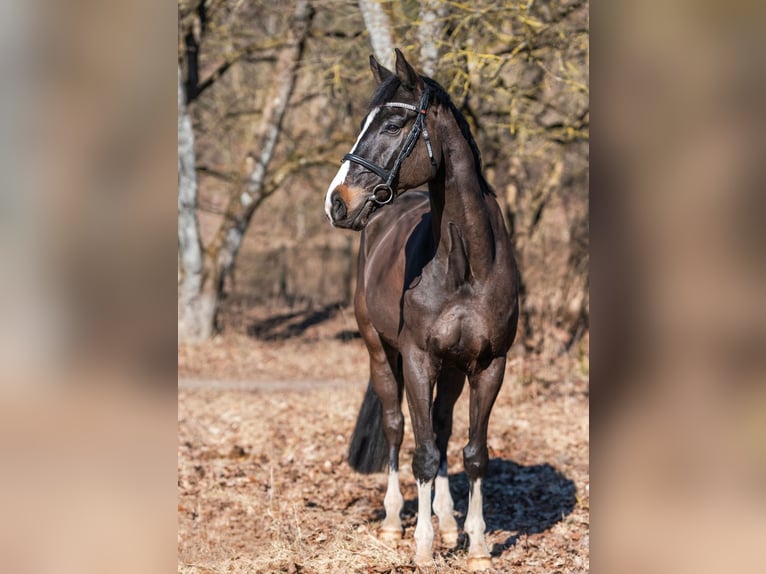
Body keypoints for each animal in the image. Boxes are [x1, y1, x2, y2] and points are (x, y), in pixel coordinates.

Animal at [324, 48, 520, 572]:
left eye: (394, 123)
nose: (336, 202)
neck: (466, 266)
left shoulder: (489, 365)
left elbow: (473, 452)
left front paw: (476, 544)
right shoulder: (415, 358)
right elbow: (423, 452)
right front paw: (424, 546)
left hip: (451, 369)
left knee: (443, 429)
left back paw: (449, 520)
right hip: (380, 352)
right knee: (398, 428)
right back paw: (394, 521)